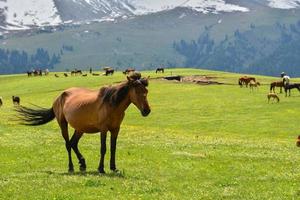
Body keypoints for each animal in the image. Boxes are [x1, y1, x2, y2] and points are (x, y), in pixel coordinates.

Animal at [15, 72, 151, 173]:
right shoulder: (103, 129)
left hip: (80, 129)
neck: (111, 104)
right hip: (63, 124)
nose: (147, 111)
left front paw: (113, 168)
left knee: (73, 143)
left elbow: (113, 148)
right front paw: (101, 169)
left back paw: (82, 163)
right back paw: (71, 167)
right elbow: (103, 148)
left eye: (146, 91)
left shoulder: (116, 129)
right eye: (137, 91)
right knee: (68, 144)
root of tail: (59, 97)